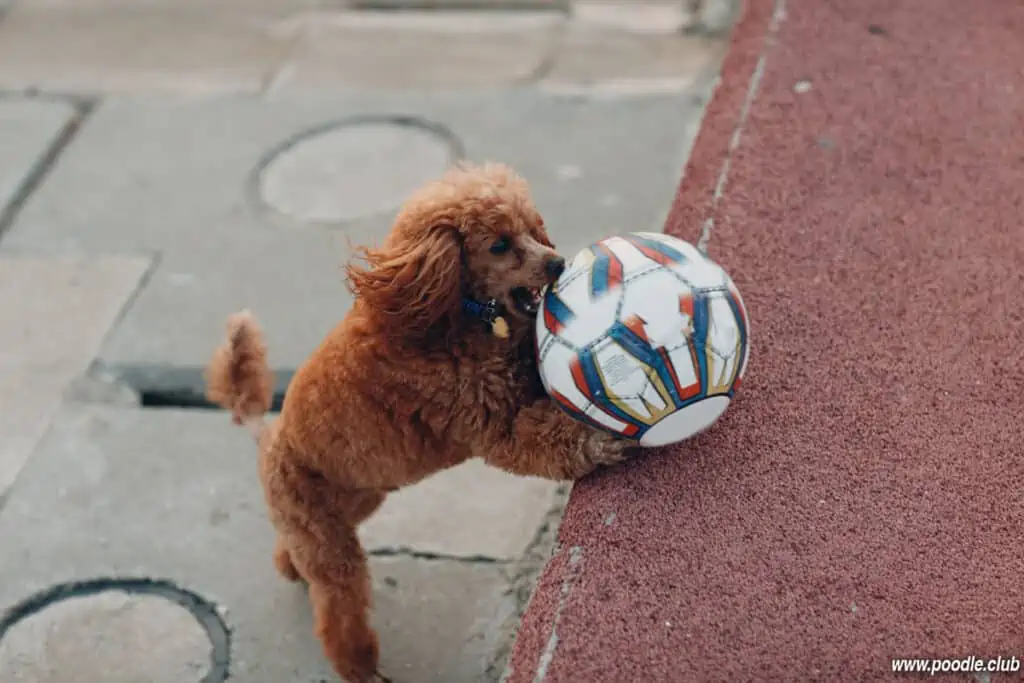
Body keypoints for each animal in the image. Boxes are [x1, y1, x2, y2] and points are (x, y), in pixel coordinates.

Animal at [203, 161, 626, 683]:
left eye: (533, 227)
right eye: (499, 244)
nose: (559, 264)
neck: (450, 316)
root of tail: (267, 437)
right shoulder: (492, 426)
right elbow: (547, 438)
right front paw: (601, 439)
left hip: (353, 503)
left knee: (296, 553)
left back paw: (289, 568)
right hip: (325, 537)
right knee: (337, 608)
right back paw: (359, 668)